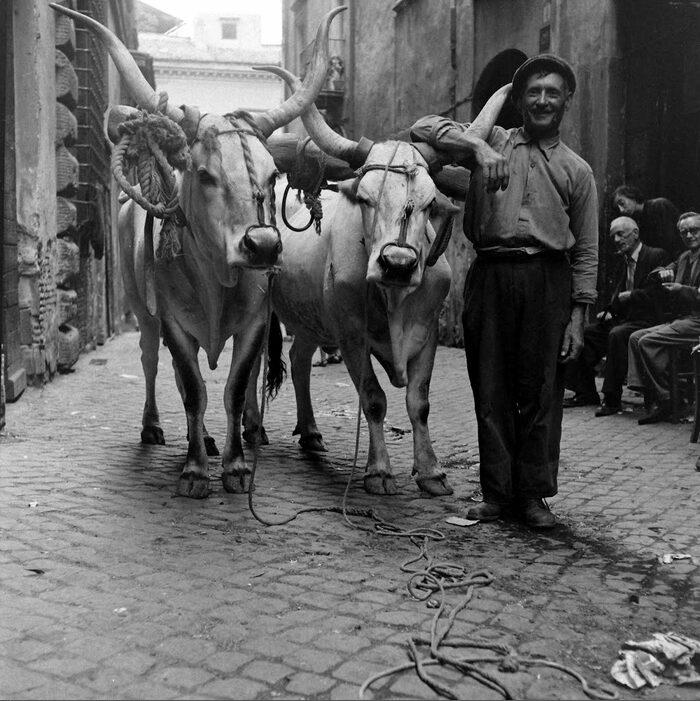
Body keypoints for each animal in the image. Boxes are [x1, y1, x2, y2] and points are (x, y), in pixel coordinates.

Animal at [50, 4, 344, 498]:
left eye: (271, 176)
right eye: (204, 174)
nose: (262, 245)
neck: (215, 281)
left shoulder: (255, 321)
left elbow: (235, 387)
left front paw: (237, 465)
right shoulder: (173, 322)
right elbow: (192, 390)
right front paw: (194, 469)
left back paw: (247, 431)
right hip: (145, 315)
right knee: (152, 364)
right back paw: (160, 429)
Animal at [256, 66, 511, 496]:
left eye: (430, 202)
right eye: (365, 198)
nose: (398, 264)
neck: (393, 301)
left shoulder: (426, 333)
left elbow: (419, 403)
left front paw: (431, 472)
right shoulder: (351, 335)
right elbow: (374, 400)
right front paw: (378, 471)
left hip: (311, 319)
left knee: (299, 361)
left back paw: (310, 432)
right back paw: (252, 428)